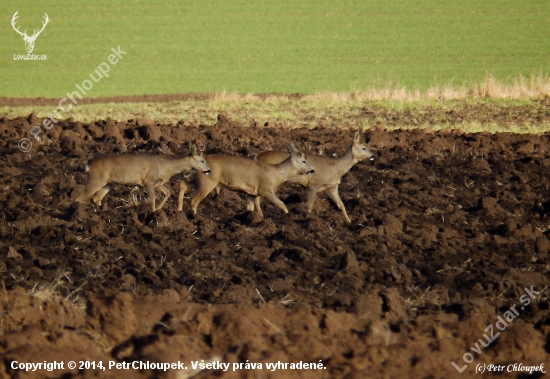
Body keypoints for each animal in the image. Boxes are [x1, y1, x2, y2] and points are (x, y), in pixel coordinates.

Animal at [78, 145, 212, 212]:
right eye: (202, 160)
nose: (209, 170)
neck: (166, 167)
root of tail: (88, 165)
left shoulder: (158, 183)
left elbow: (168, 192)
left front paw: (158, 210)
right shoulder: (149, 181)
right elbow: (152, 198)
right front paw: (153, 213)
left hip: (108, 183)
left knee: (96, 198)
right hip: (95, 180)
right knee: (78, 198)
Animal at [177, 144, 314, 218]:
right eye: (304, 161)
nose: (312, 170)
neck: (276, 173)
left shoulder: (251, 193)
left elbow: (250, 208)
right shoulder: (266, 189)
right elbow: (281, 203)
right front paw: (288, 215)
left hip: (200, 181)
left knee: (182, 185)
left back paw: (179, 211)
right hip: (207, 183)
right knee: (194, 200)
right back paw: (194, 217)